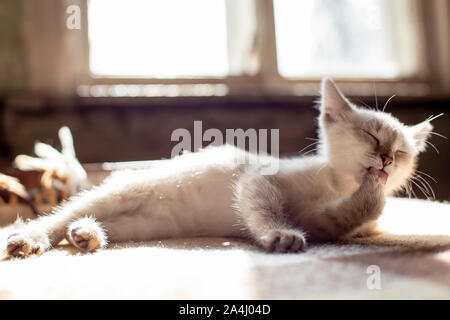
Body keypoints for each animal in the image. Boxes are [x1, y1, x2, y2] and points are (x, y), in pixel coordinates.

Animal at [1, 79, 434, 256]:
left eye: (401, 151)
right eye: (372, 137)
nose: (386, 160)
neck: (336, 184)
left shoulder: (326, 223)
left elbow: (347, 216)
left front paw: (373, 192)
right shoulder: (257, 180)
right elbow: (265, 208)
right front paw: (279, 234)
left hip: (143, 224)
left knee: (89, 223)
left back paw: (87, 235)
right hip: (123, 193)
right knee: (60, 216)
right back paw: (33, 237)